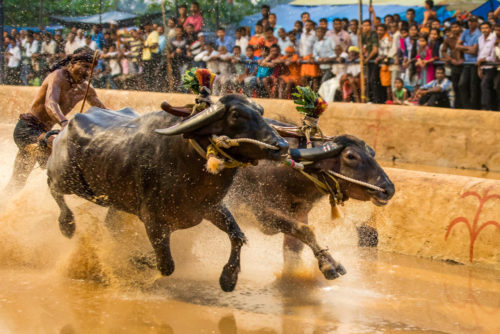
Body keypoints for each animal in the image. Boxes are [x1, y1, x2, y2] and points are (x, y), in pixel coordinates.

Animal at [47, 92, 290, 290]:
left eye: (261, 111)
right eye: (236, 115)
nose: (282, 146)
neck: (186, 160)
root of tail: (66, 126)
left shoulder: (209, 208)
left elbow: (237, 236)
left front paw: (228, 279)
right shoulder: (153, 221)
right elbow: (166, 264)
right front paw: (138, 261)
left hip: (115, 200)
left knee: (111, 224)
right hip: (68, 179)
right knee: (52, 187)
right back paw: (67, 225)